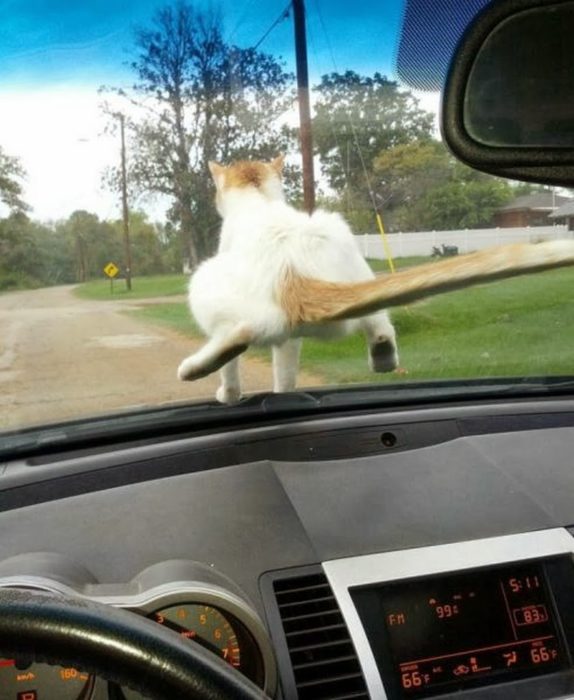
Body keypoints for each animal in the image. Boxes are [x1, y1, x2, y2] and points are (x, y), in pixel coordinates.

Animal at [179, 154, 574, 404]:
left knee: (236, 337)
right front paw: (284, 393)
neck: (260, 203)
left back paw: (194, 369)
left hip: (205, 284)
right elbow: (286, 373)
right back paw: (383, 356)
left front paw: (230, 395)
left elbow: (244, 373)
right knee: (380, 323)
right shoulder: (291, 341)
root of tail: (295, 276)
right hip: (349, 254)